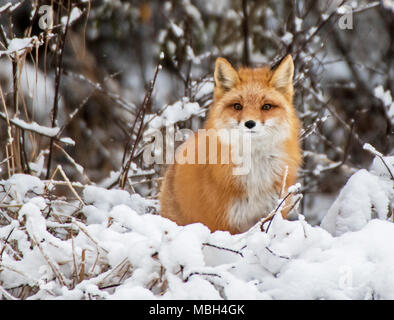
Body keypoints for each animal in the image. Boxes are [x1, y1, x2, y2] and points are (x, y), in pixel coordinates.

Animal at [160, 55, 302, 234]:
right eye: (237, 106)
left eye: (266, 106)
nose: (250, 123)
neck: (254, 171)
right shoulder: (222, 223)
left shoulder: (269, 215)